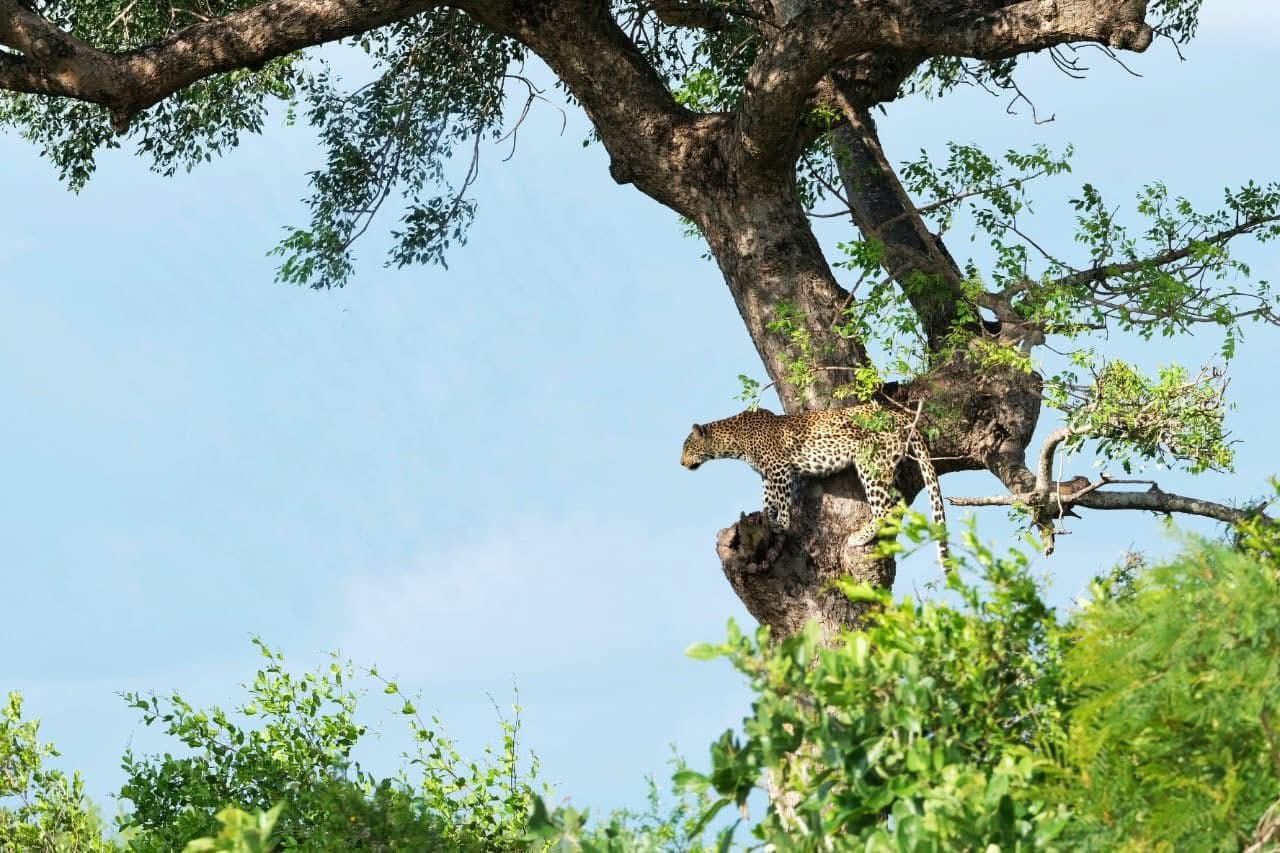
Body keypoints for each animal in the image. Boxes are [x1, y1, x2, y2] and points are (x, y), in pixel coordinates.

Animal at [680, 403, 949, 569]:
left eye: (686, 447)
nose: (681, 463)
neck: (734, 442)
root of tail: (896, 414)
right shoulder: (767, 475)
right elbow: (768, 500)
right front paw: (767, 516)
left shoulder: (779, 468)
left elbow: (782, 500)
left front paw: (781, 524)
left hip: (870, 462)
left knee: (884, 508)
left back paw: (860, 536)